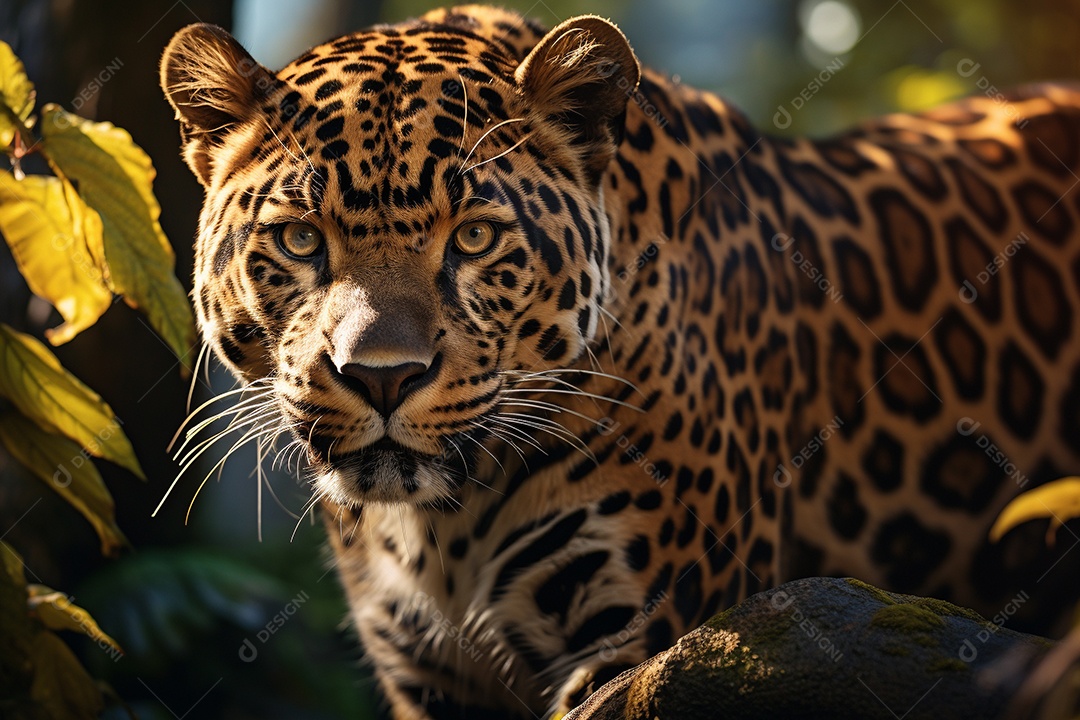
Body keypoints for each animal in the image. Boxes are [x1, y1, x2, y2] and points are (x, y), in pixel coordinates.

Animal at [160, 5, 1080, 718]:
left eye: (475, 237)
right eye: (300, 240)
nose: (383, 376)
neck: (439, 527)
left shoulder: (647, 644)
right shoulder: (430, 678)